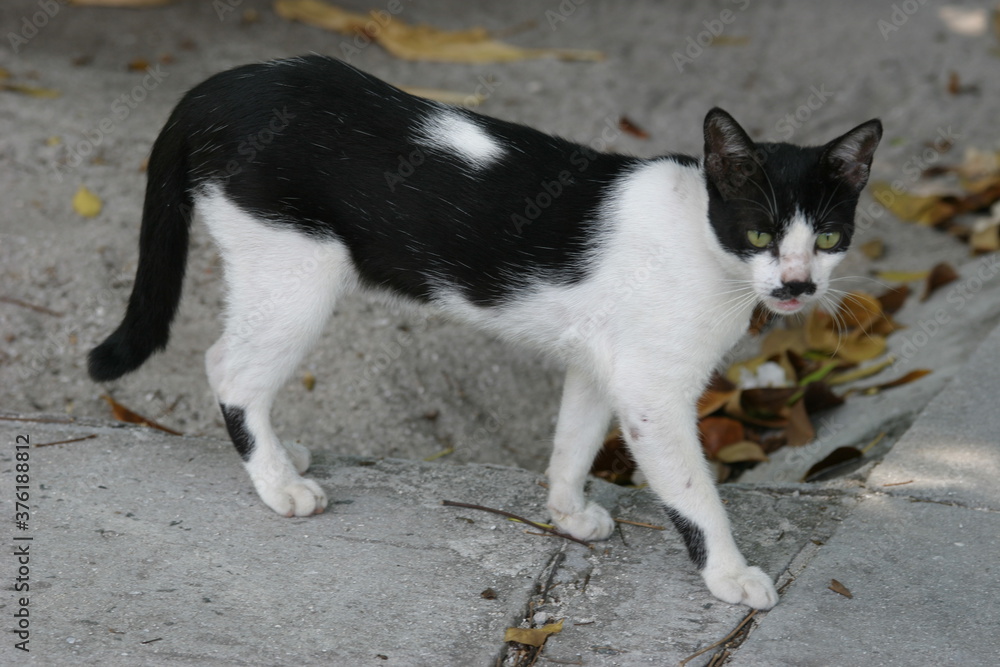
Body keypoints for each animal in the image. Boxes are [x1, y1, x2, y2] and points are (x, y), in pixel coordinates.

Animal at [90, 56, 880, 612]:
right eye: (760, 233)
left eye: (829, 238)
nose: (797, 285)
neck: (703, 242)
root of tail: (222, 86)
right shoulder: (654, 394)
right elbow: (696, 495)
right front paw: (730, 574)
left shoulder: (604, 363)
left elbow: (573, 439)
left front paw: (565, 512)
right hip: (298, 274)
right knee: (229, 367)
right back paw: (280, 483)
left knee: (230, 360)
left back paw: (285, 453)